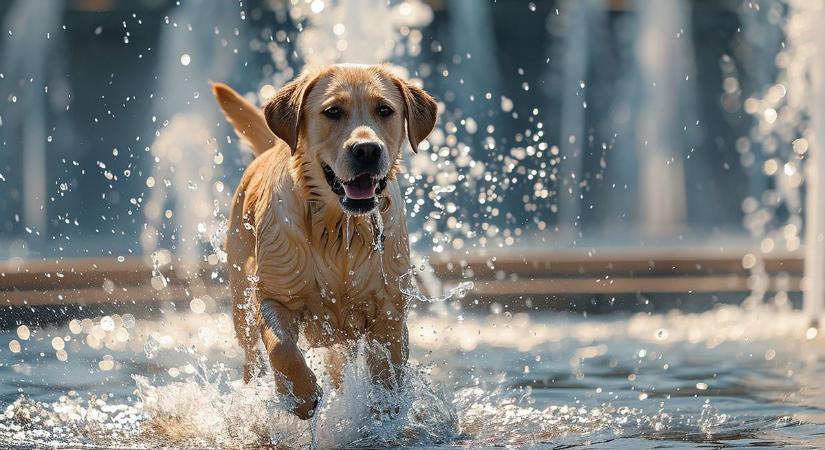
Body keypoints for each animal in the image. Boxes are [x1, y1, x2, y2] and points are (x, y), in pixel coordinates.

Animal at [211, 63, 438, 418]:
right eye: (333, 111)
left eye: (384, 110)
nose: (367, 149)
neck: (339, 228)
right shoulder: (275, 295)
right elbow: (282, 348)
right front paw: (301, 396)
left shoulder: (390, 309)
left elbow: (388, 368)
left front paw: (383, 412)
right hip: (241, 303)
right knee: (253, 358)